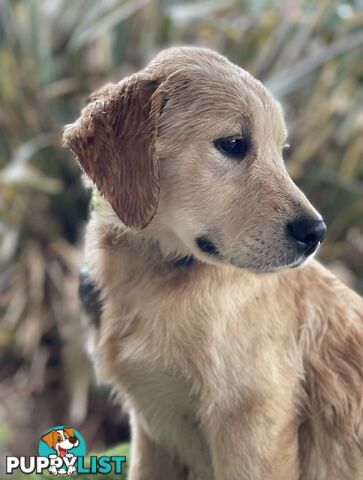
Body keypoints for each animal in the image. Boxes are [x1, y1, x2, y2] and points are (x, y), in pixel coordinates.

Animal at [63, 46, 363, 480]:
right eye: (234, 144)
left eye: (280, 152)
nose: (316, 233)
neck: (161, 271)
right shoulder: (152, 431)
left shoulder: (250, 431)